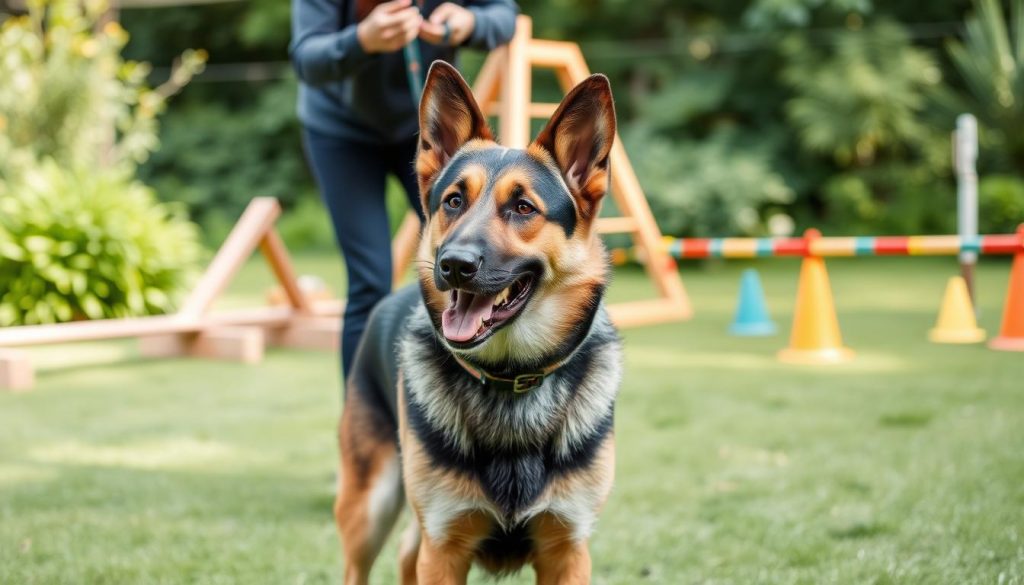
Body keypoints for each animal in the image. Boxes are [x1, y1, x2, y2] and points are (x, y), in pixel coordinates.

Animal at [335, 61, 622, 581]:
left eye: (523, 207)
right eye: (452, 201)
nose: (453, 264)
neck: (510, 382)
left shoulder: (567, 550)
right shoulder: (444, 547)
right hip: (370, 507)